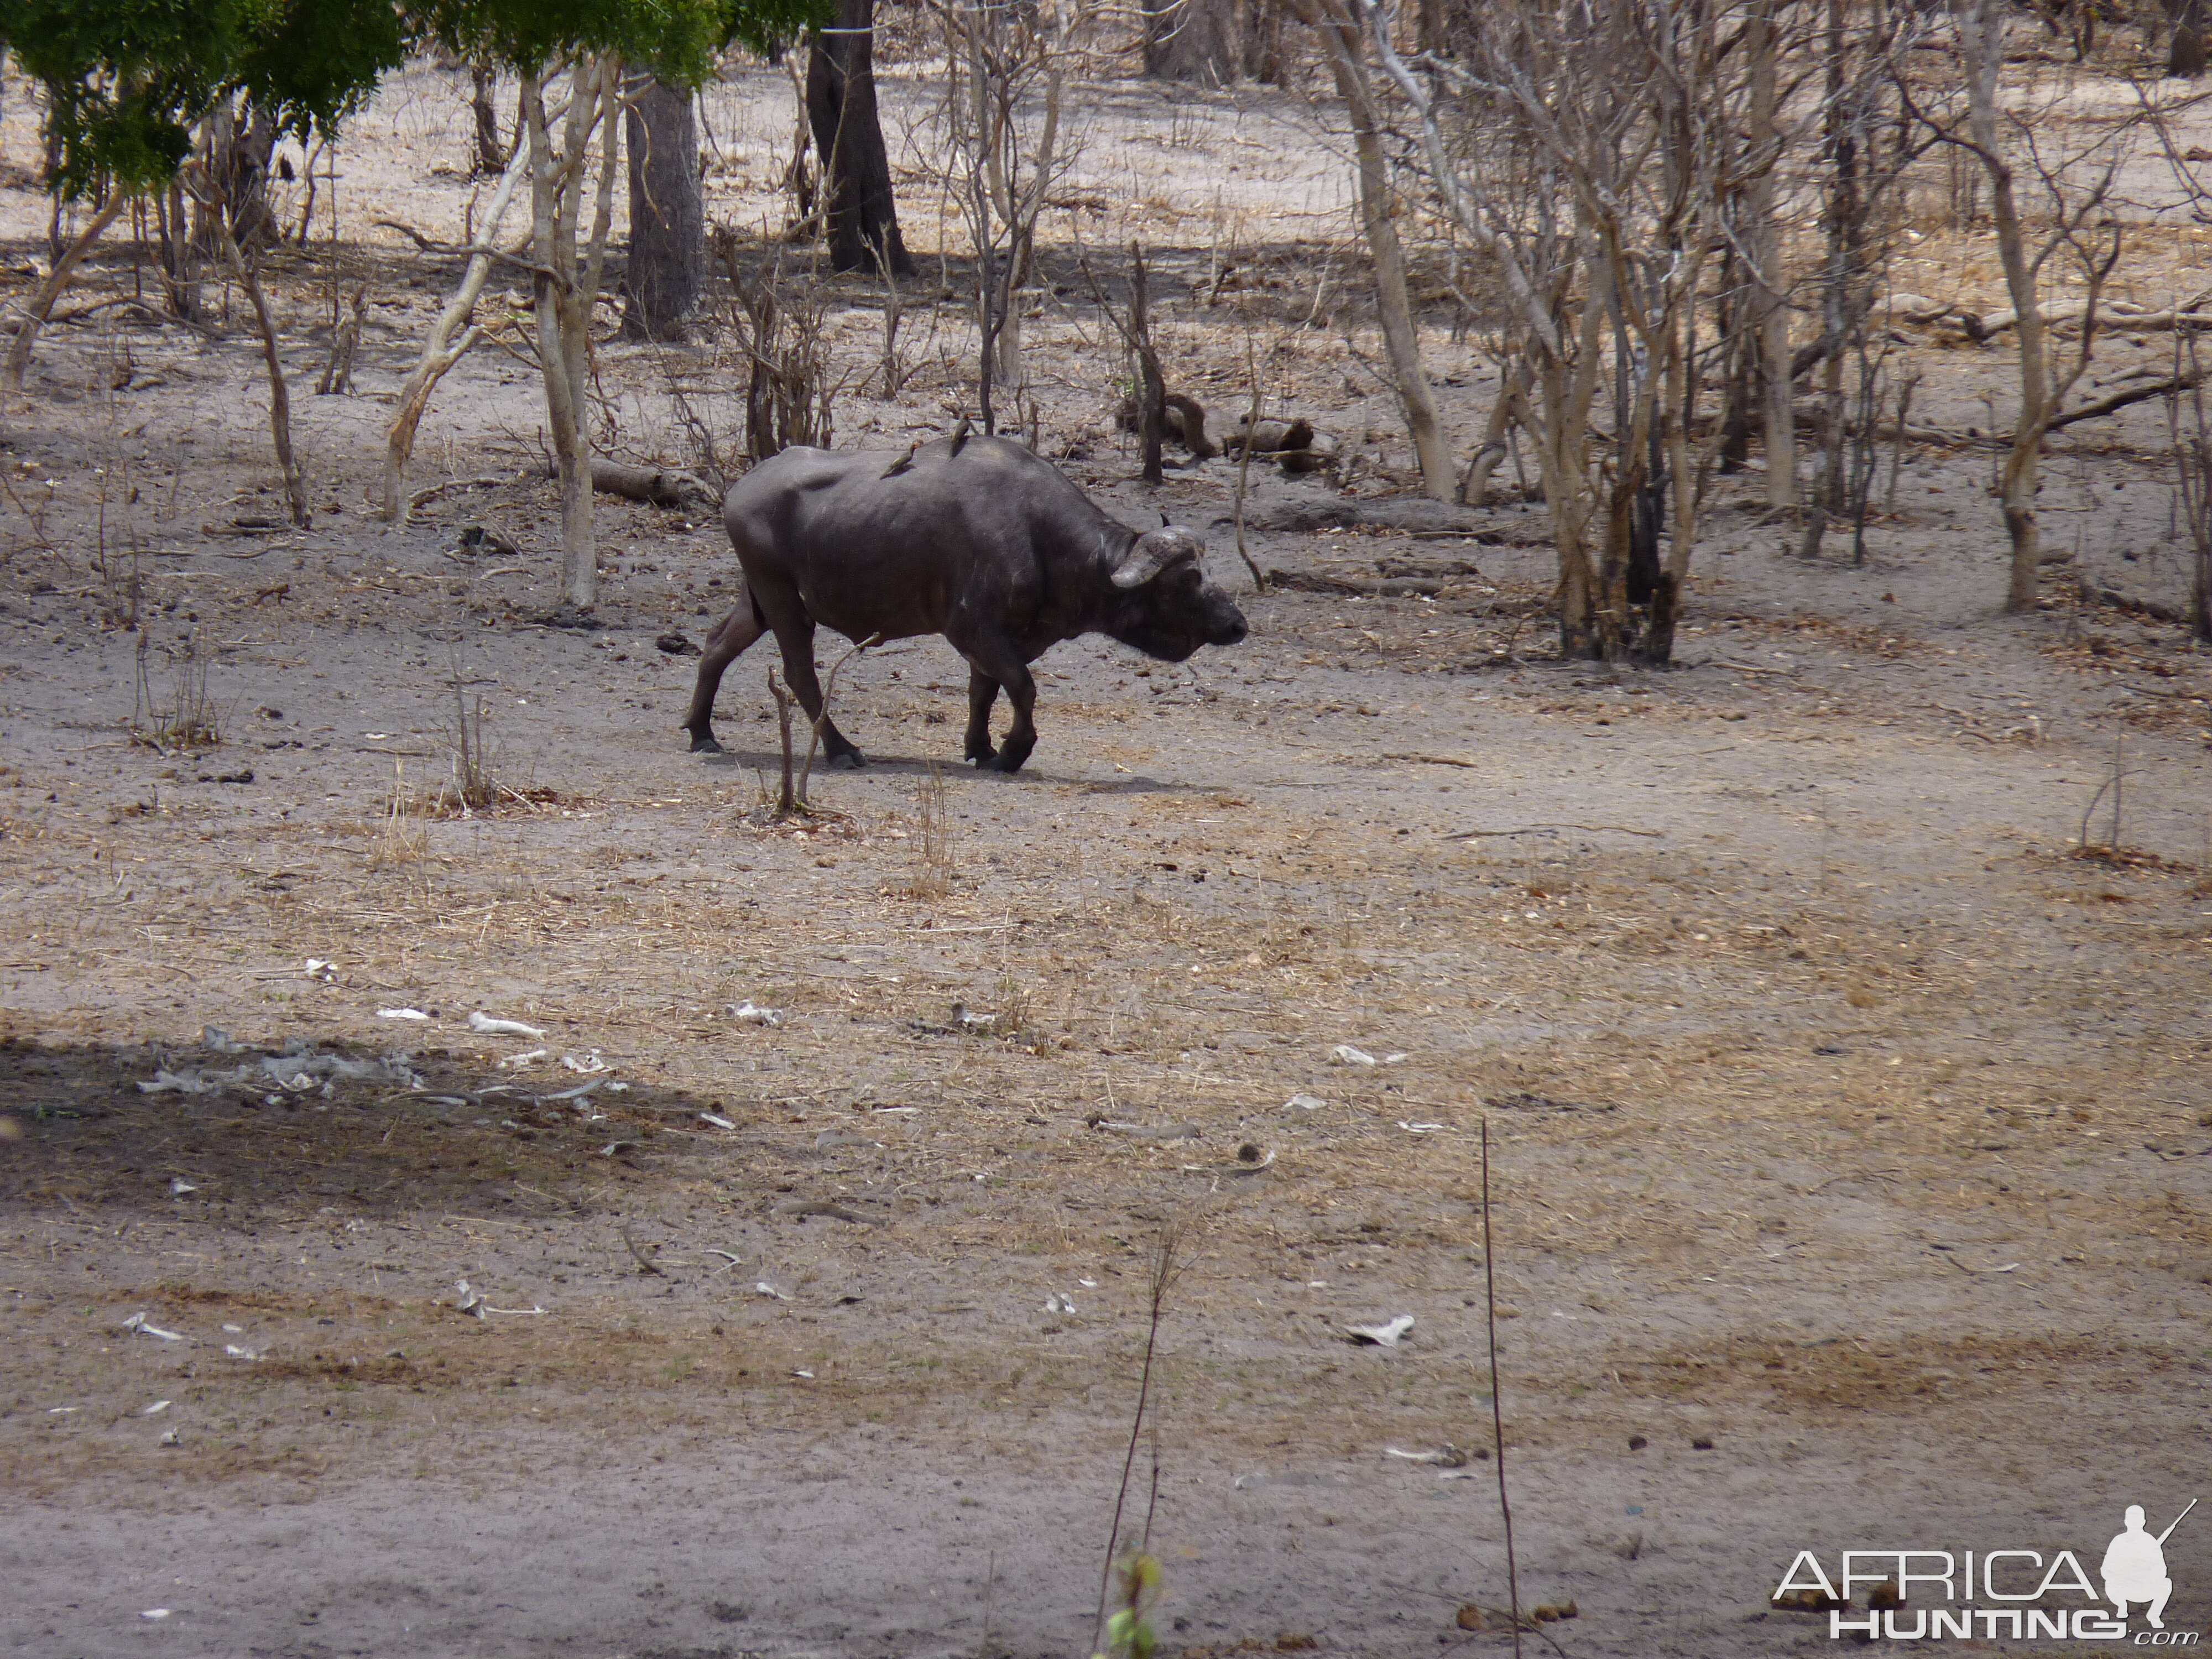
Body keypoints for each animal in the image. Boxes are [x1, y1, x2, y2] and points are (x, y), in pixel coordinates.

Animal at [681, 442, 1248, 779]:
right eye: (1187, 580)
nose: (1237, 625)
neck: (1042, 537)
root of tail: (741, 488)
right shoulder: (972, 628)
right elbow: (1022, 687)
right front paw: (1014, 751)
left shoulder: (996, 639)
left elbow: (985, 691)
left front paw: (980, 747)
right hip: (781, 599)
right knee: (800, 672)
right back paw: (841, 748)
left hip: (757, 600)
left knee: (716, 644)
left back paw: (702, 732)